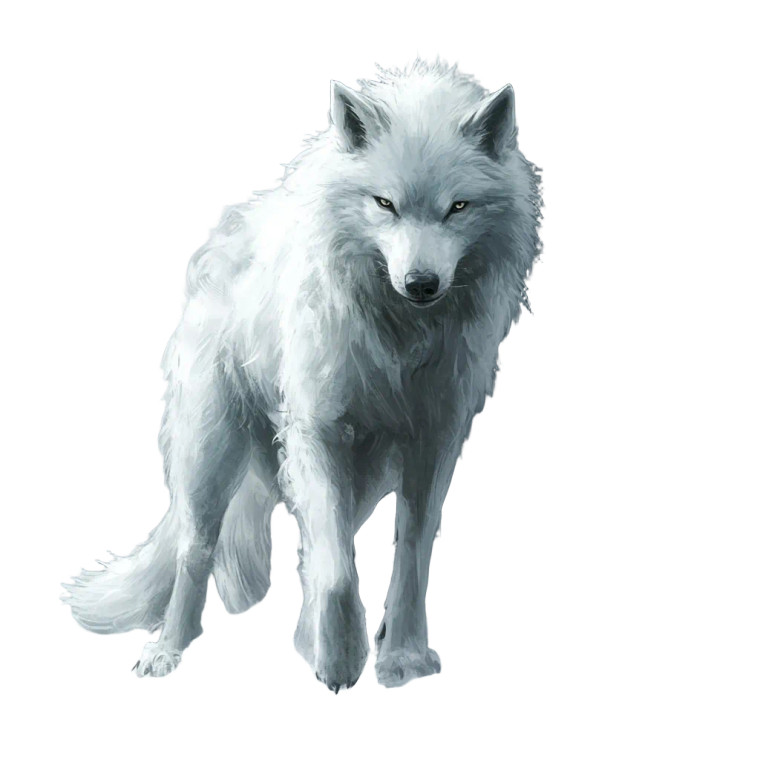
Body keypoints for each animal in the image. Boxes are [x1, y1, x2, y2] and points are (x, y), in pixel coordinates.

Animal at [63, 60, 542, 691]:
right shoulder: (319, 430)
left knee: (312, 545)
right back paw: (167, 648)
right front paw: (338, 661)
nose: (421, 284)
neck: (401, 340)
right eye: (384, 203)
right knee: (197, 550)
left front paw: (401, 657)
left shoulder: (433, 442)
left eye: (457, 208)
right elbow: (336, 569)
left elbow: (409, 555)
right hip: (211, 451)